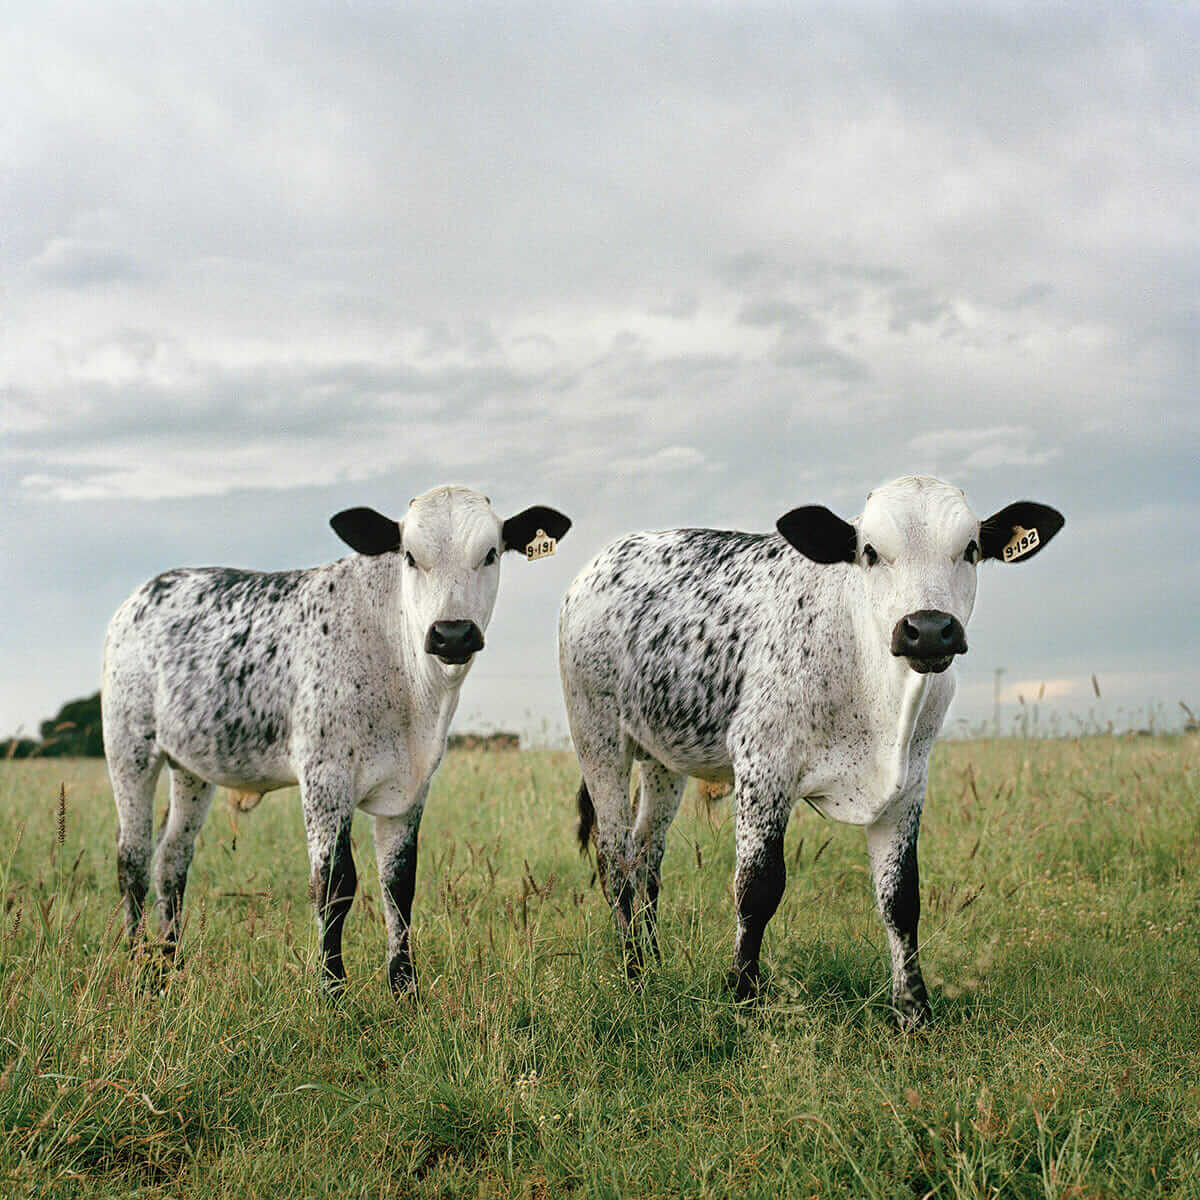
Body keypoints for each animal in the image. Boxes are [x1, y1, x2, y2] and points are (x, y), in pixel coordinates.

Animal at [103, 484, 571, 993]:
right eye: (410, 556)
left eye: (490, 553)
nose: (452, 634)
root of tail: (144, 594)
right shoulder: (325, 777)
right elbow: (334, 883)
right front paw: (332, 988)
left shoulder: (411, 787)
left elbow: (399, 883)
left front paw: (405, 987)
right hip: (129, 748)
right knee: (133, 857)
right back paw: (136, 960)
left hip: (193, 768)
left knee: (172, 859)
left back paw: (171, 961)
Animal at [556, 472, 1065, 1027]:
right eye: (869, 551)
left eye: (970, 548)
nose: (929, 629)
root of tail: (603, 560)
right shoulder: (763, 765)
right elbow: (757, 888)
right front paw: (743, 997)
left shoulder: (909, 784)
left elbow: (901, 898)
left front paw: (913, 1012)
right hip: (598, 737)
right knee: (615, 859)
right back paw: (632, 974)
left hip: (663, 759)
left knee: (646, 856)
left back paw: (652, 962)